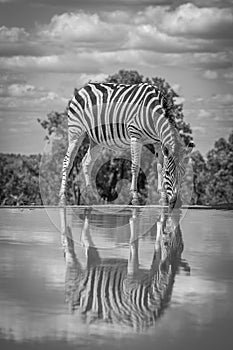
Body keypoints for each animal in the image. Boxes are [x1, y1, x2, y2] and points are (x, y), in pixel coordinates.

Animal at [59, 82, 192, 205]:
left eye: (183, 174)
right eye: (168, 173)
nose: (176, 203)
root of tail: (84, 87)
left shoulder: (158, 142)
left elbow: (159, 167)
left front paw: (163, 198)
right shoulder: (135, 137)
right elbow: (135, 166)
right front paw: (135, 197)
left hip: (96, 140)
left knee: (86, 162)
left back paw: (91, 195)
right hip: (76, 131)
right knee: (67, 161)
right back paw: (62, 197)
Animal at [60, 208, 189, 330]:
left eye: (182, 246)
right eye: (166, 243)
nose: (175, 215)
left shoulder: (153, 268)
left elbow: (156, 245)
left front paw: (159, 222)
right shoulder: (130, 279)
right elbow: (134, 241)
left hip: (93, 262)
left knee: (85, 240)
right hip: (75, 274)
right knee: (70, 251)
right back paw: (66, 233)